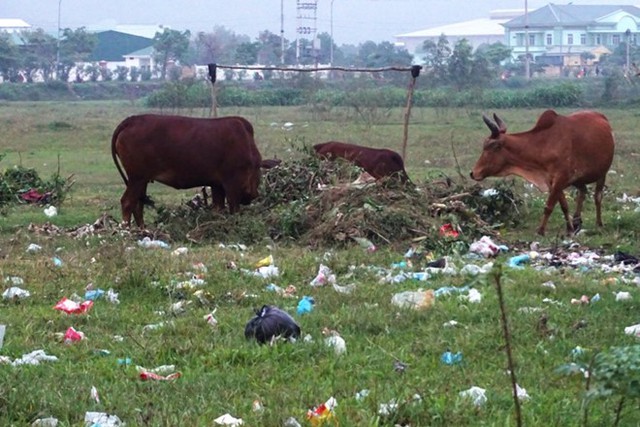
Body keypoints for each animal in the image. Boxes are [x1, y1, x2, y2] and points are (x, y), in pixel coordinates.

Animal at [111, 113, 262, 227]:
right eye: (256, 167)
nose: (252, 194)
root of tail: (132, 120)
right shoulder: (232, 183)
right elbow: (233, 208)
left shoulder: (217, 184)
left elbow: (218, 208)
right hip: (137, 178)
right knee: (128, 202)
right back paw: (127, 231)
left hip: (142, 180)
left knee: (138, 204)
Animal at [470, 110, 616, 236]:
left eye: (492, 146)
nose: (473, 173)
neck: (544, 145)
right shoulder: (553, 181)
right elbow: (564, 206)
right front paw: (569, 228)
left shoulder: (561, 178)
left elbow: (549, 206)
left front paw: (540, 230)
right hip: (577, 179)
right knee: (583, 191)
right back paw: (576, 221)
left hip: (602, 173)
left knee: (597, 197)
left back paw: (599, 224)